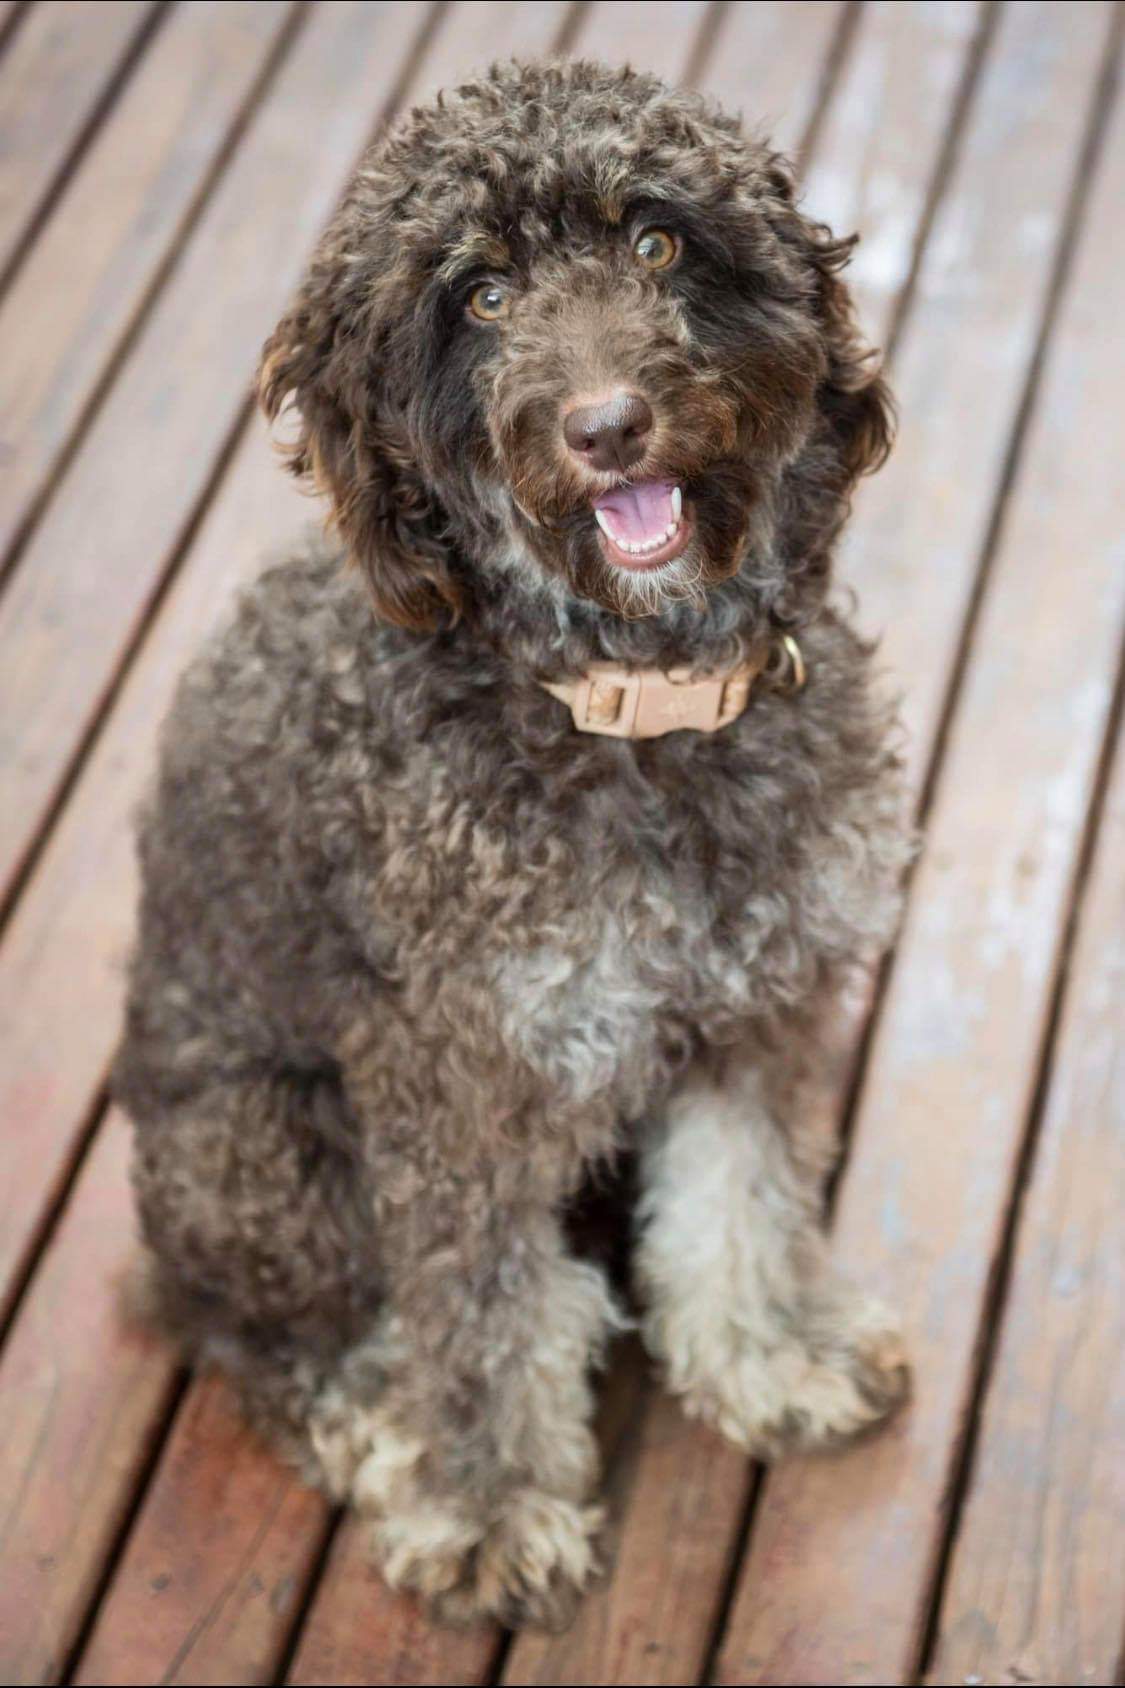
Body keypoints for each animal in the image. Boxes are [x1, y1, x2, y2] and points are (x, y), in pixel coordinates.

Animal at [115, 59, 913, 1629]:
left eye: (658, 243)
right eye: (480, 297)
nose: (608, 424)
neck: (636, 714)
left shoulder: (757, 1006)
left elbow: (742, 1201)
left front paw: (774, 1352)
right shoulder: (455, 1075)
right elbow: (479, 1313)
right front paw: (485, 1509)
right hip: (254, 1153)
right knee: (241, 1325)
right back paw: (372, 1412)